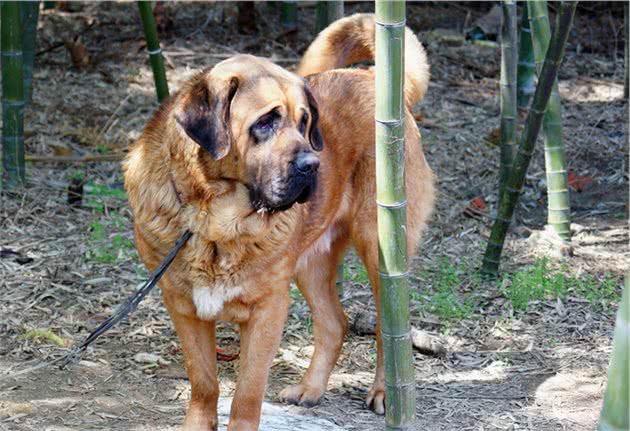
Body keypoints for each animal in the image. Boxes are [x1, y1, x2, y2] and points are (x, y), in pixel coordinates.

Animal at [126, 13, 436, 431]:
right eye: (266, 122)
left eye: (305, 122)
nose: (312, 165)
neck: (213, 222)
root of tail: (372, 75)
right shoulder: (183, 307)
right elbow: (204, 383)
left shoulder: (268, 310)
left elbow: (246, 395)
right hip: (310, 262)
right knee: (334, 323)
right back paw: (310, 389)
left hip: (379, 249)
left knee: (389, 330)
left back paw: (386, 393)